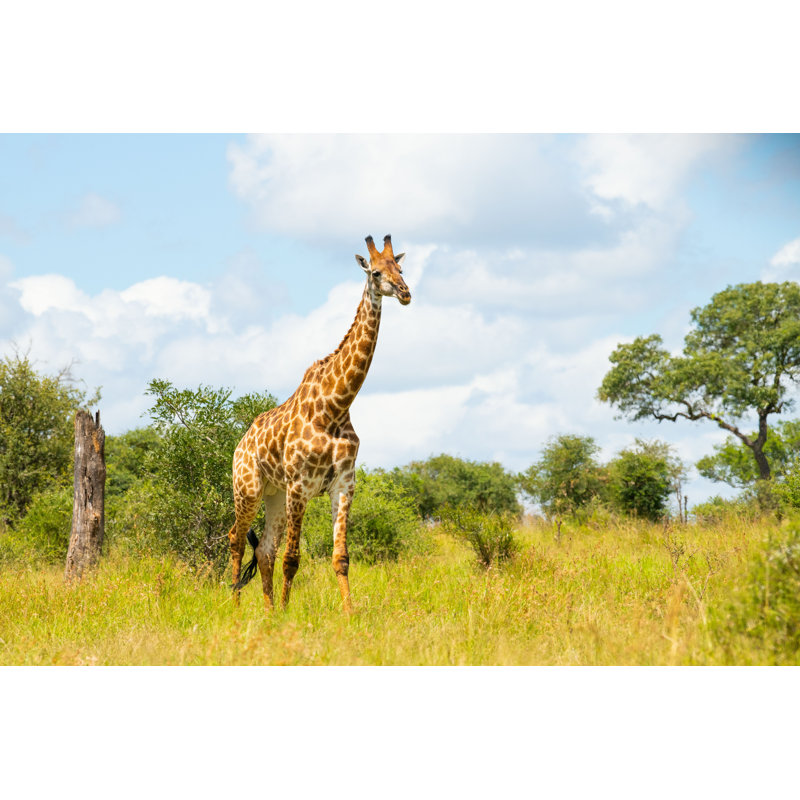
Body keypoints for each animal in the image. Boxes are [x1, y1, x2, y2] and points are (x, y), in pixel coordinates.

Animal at [227, 234, 411, 613]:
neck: (336, 405)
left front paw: (349, 613)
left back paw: (267, 611)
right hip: (248, 488)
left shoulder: (343, 484)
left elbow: (340, 557)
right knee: (237, 537)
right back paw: (236, 606)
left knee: (264, 549)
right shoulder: (300, 485)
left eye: (400, 269)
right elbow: (293, 558)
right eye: (375, 272)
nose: (405, 293)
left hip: (274, 496)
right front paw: (287, 612)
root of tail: (240, 444)